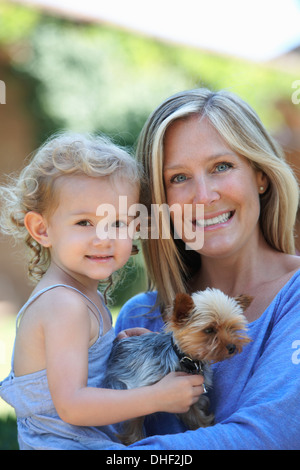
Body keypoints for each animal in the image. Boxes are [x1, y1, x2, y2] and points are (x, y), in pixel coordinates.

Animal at [105, 286, 251, 444]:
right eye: (209, 330)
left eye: (231, 327)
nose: (232, 347)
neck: (184, 359)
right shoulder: (137, 390)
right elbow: (134, 424)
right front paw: (134, 441)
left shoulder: (191, 398)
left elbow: (197, 417)